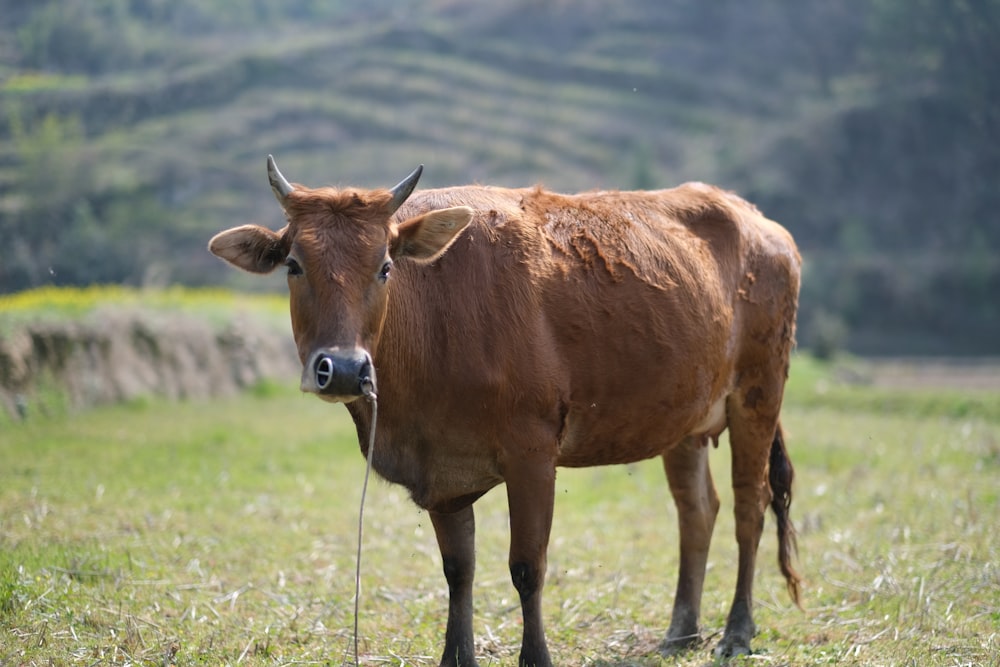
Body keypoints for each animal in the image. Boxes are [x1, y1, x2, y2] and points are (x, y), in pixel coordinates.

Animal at [209, 154, 804, 664]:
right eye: (293, 264)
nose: (346, 369)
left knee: (750, 507)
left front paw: (535, 657)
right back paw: (682, 631)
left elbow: (527, 565)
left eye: (384, 267)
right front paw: (456, 657)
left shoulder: (532, 452)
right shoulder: (442, 469)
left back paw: (736, 632)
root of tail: (758, 221)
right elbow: (458, 569)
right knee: (698, 511)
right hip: (683, 420)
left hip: (759, 392)